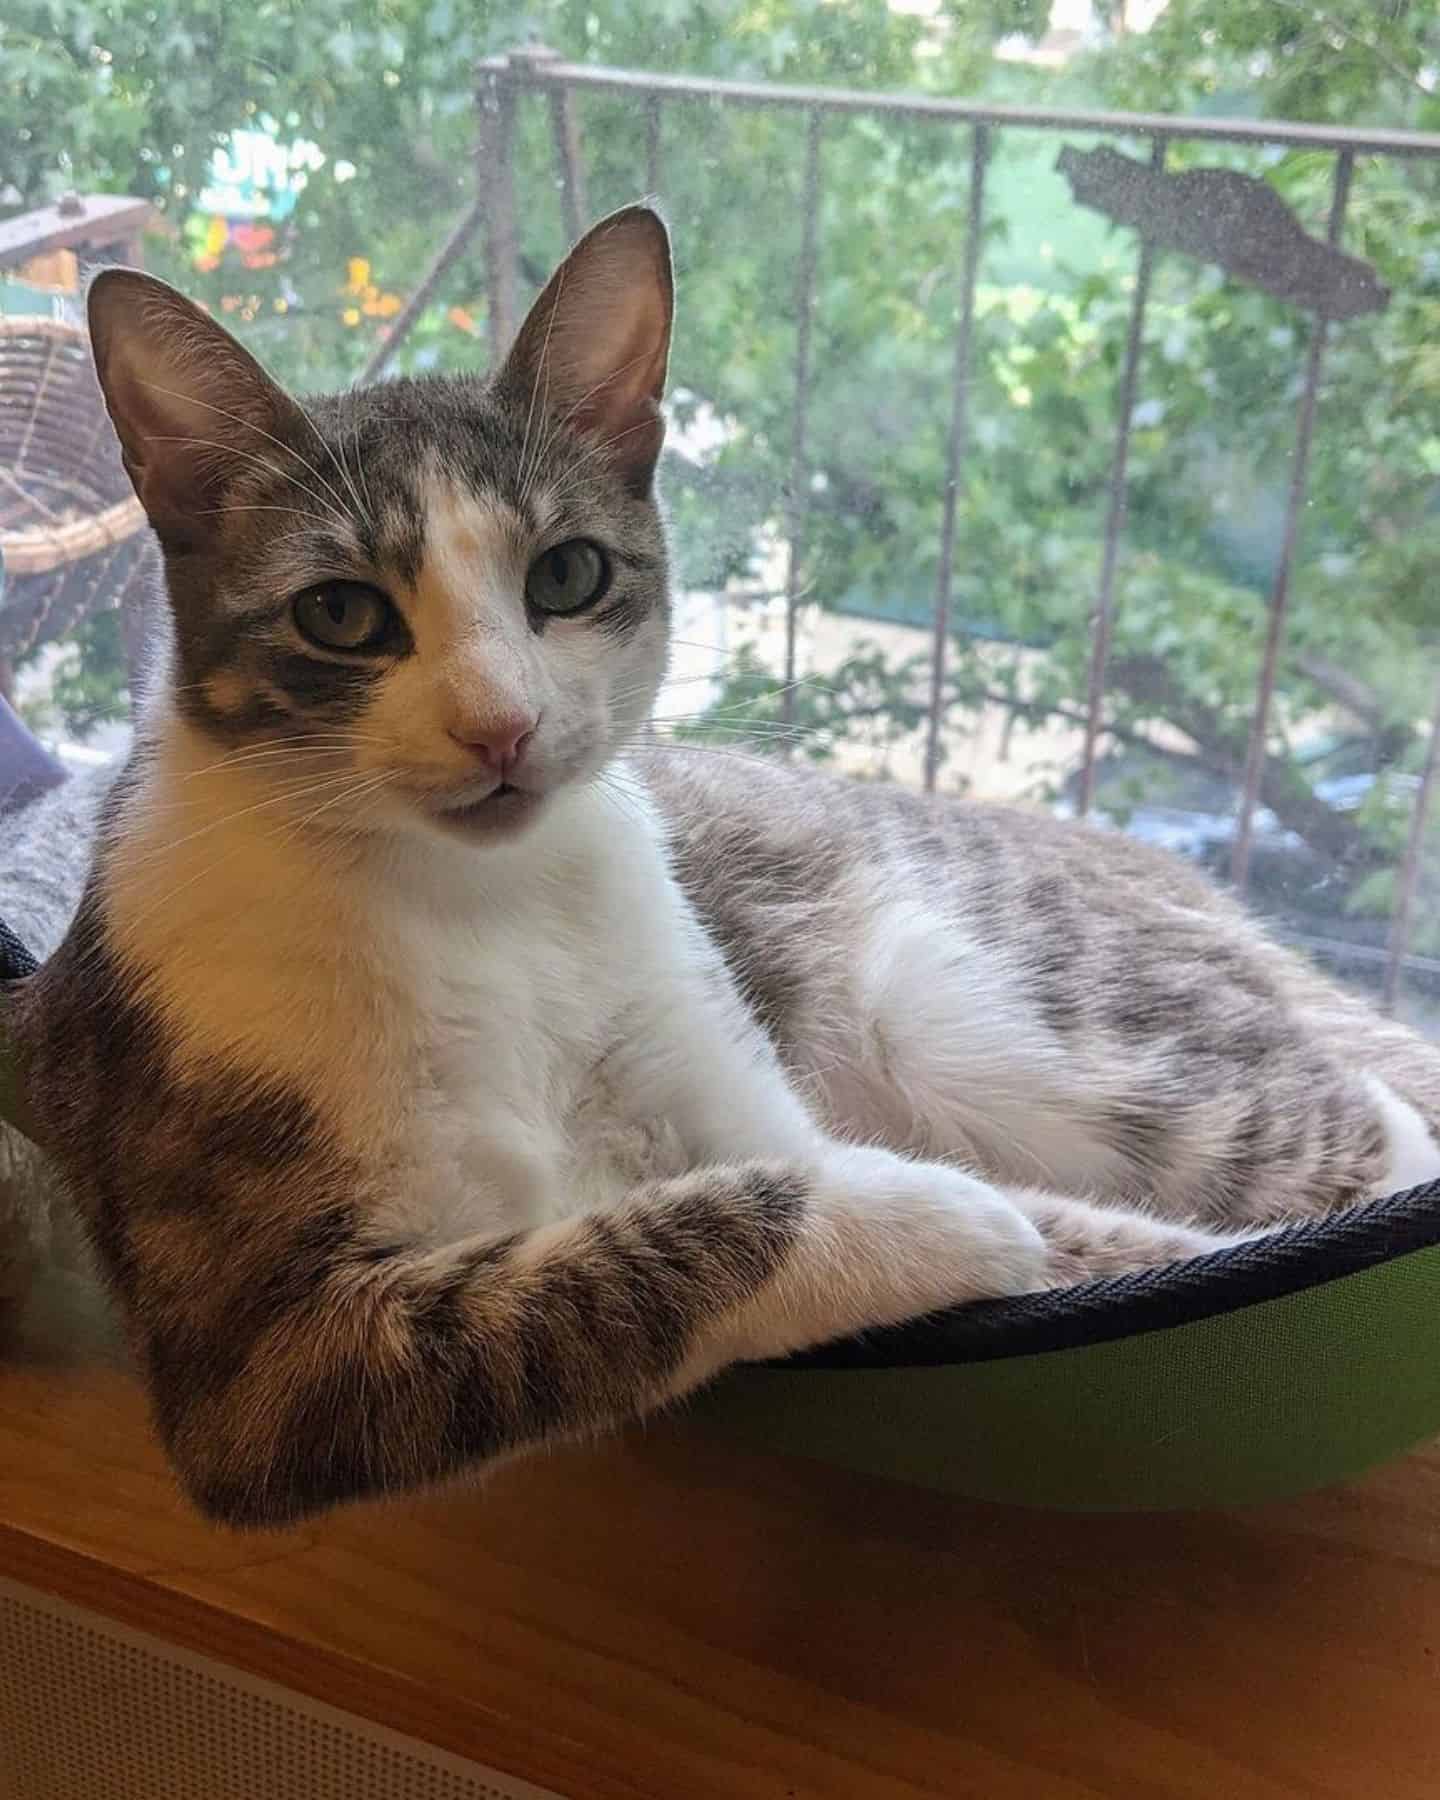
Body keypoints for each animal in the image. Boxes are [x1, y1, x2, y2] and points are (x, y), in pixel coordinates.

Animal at [11, 210, 1440, 1526]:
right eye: (342, 612)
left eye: (567, 574)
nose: (500, 725)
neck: (486, 911)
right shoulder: (270, 1365)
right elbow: (645, 1251)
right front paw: (949, 1222)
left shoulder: (724, 1069)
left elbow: (1067, 1228)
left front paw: (1015, 1230)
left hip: (1021, 1010)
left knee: (1364, 1120)